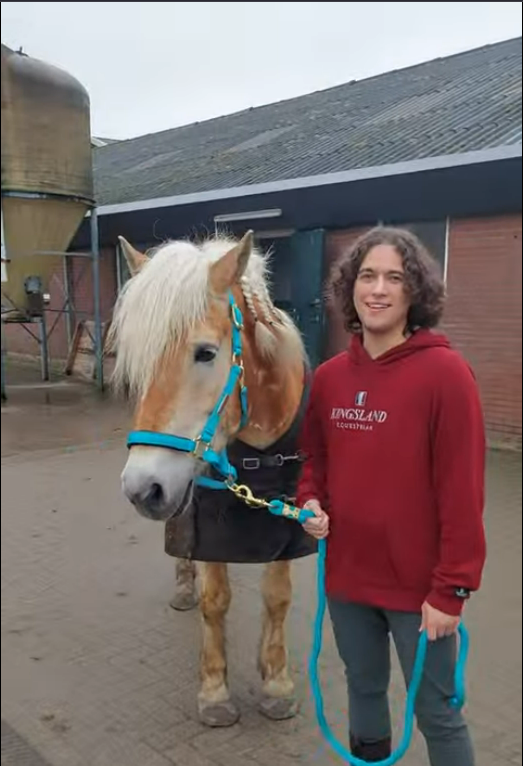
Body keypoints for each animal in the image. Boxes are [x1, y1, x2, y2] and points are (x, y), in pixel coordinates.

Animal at [110, 231, 317, 728]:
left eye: (205, 353)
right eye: (137, 362)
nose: (141, 488)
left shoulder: (287, 519)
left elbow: (277, 597)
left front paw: (275, 680)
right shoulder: (207, 521)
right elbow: (215, 600)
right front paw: (215, 691)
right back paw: (185, 586)